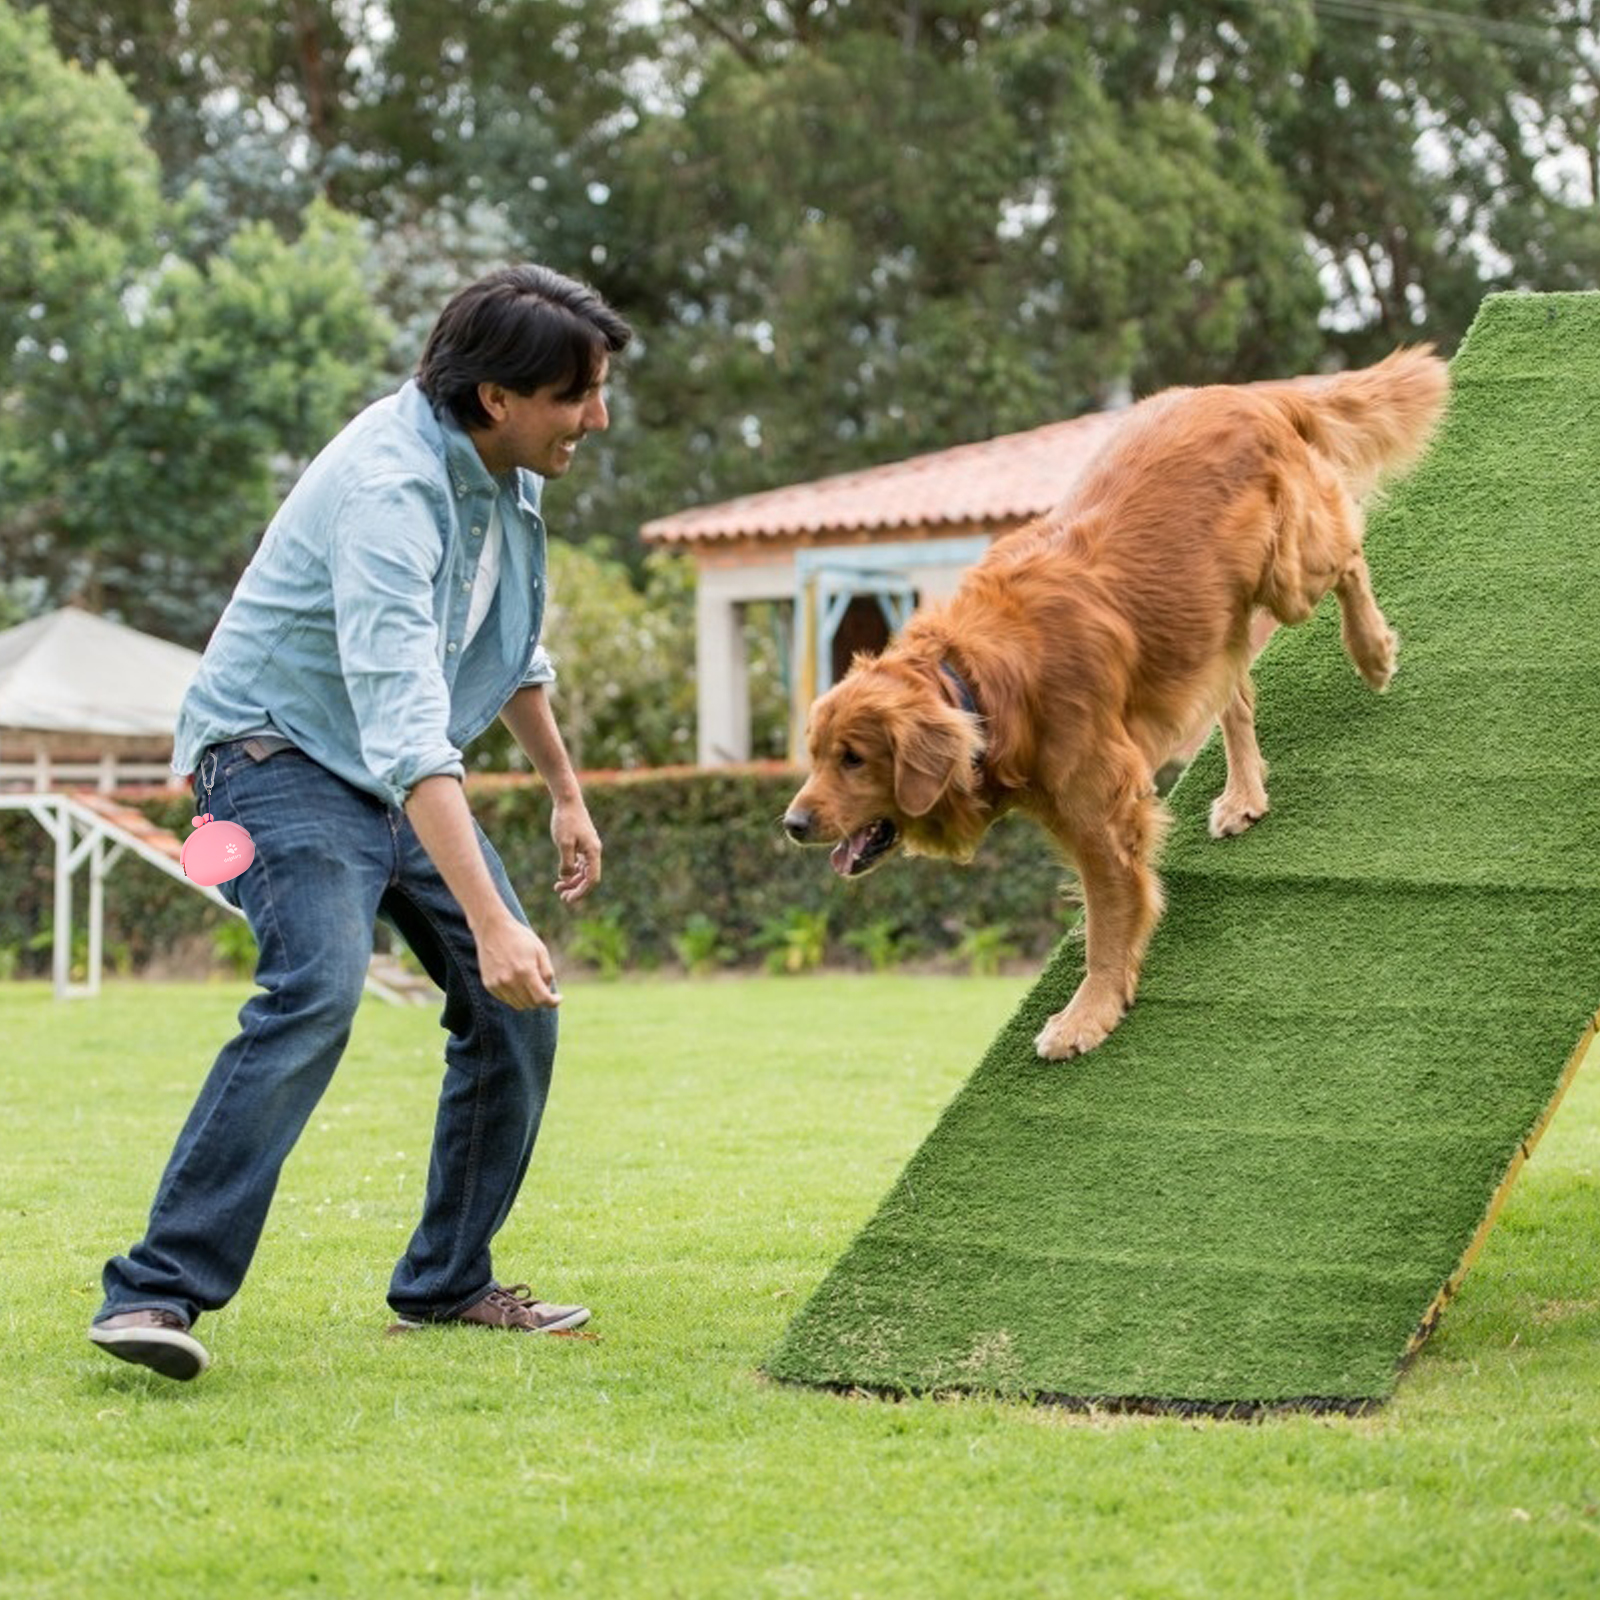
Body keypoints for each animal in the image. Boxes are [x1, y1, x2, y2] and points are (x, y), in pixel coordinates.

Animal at [784, 347, 1448, 1060]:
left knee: (1349, 552)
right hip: (1210, 624)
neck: (978, 684)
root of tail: (1250, 394)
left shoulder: (1103, 811)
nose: (791, 824)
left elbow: (1108, 919)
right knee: (1238, 697)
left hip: (1288, 574)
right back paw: (1243, 794)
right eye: (815, 755)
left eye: (853, 758)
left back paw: (1373, 650)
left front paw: (1088, 1014)